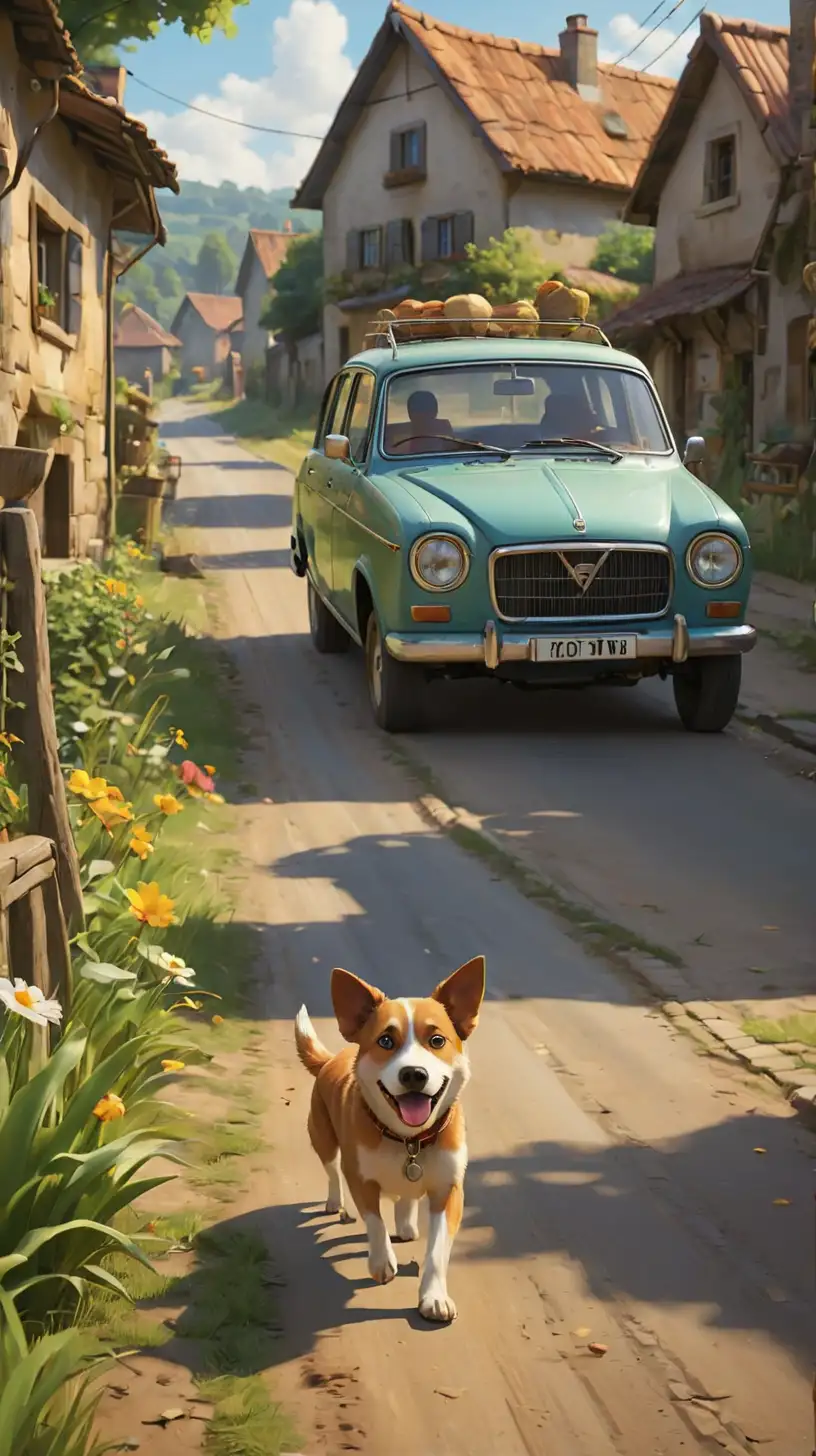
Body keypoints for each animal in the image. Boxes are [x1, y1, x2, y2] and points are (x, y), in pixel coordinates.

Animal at [292, 955, 483, 1322]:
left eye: (437, 1040)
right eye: (385, 1041)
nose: (413, 1074)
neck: (408, 1140)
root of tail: (330, 1059)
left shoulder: (449, 1190)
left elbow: (438, 1249)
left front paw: (434, 1296)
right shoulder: (360, 1176)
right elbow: (374, 1221)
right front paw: (382, 1262)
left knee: (405, 1197)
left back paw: (406, 1223)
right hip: (323, 1138)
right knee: (332, 1171)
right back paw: (336, 1203)